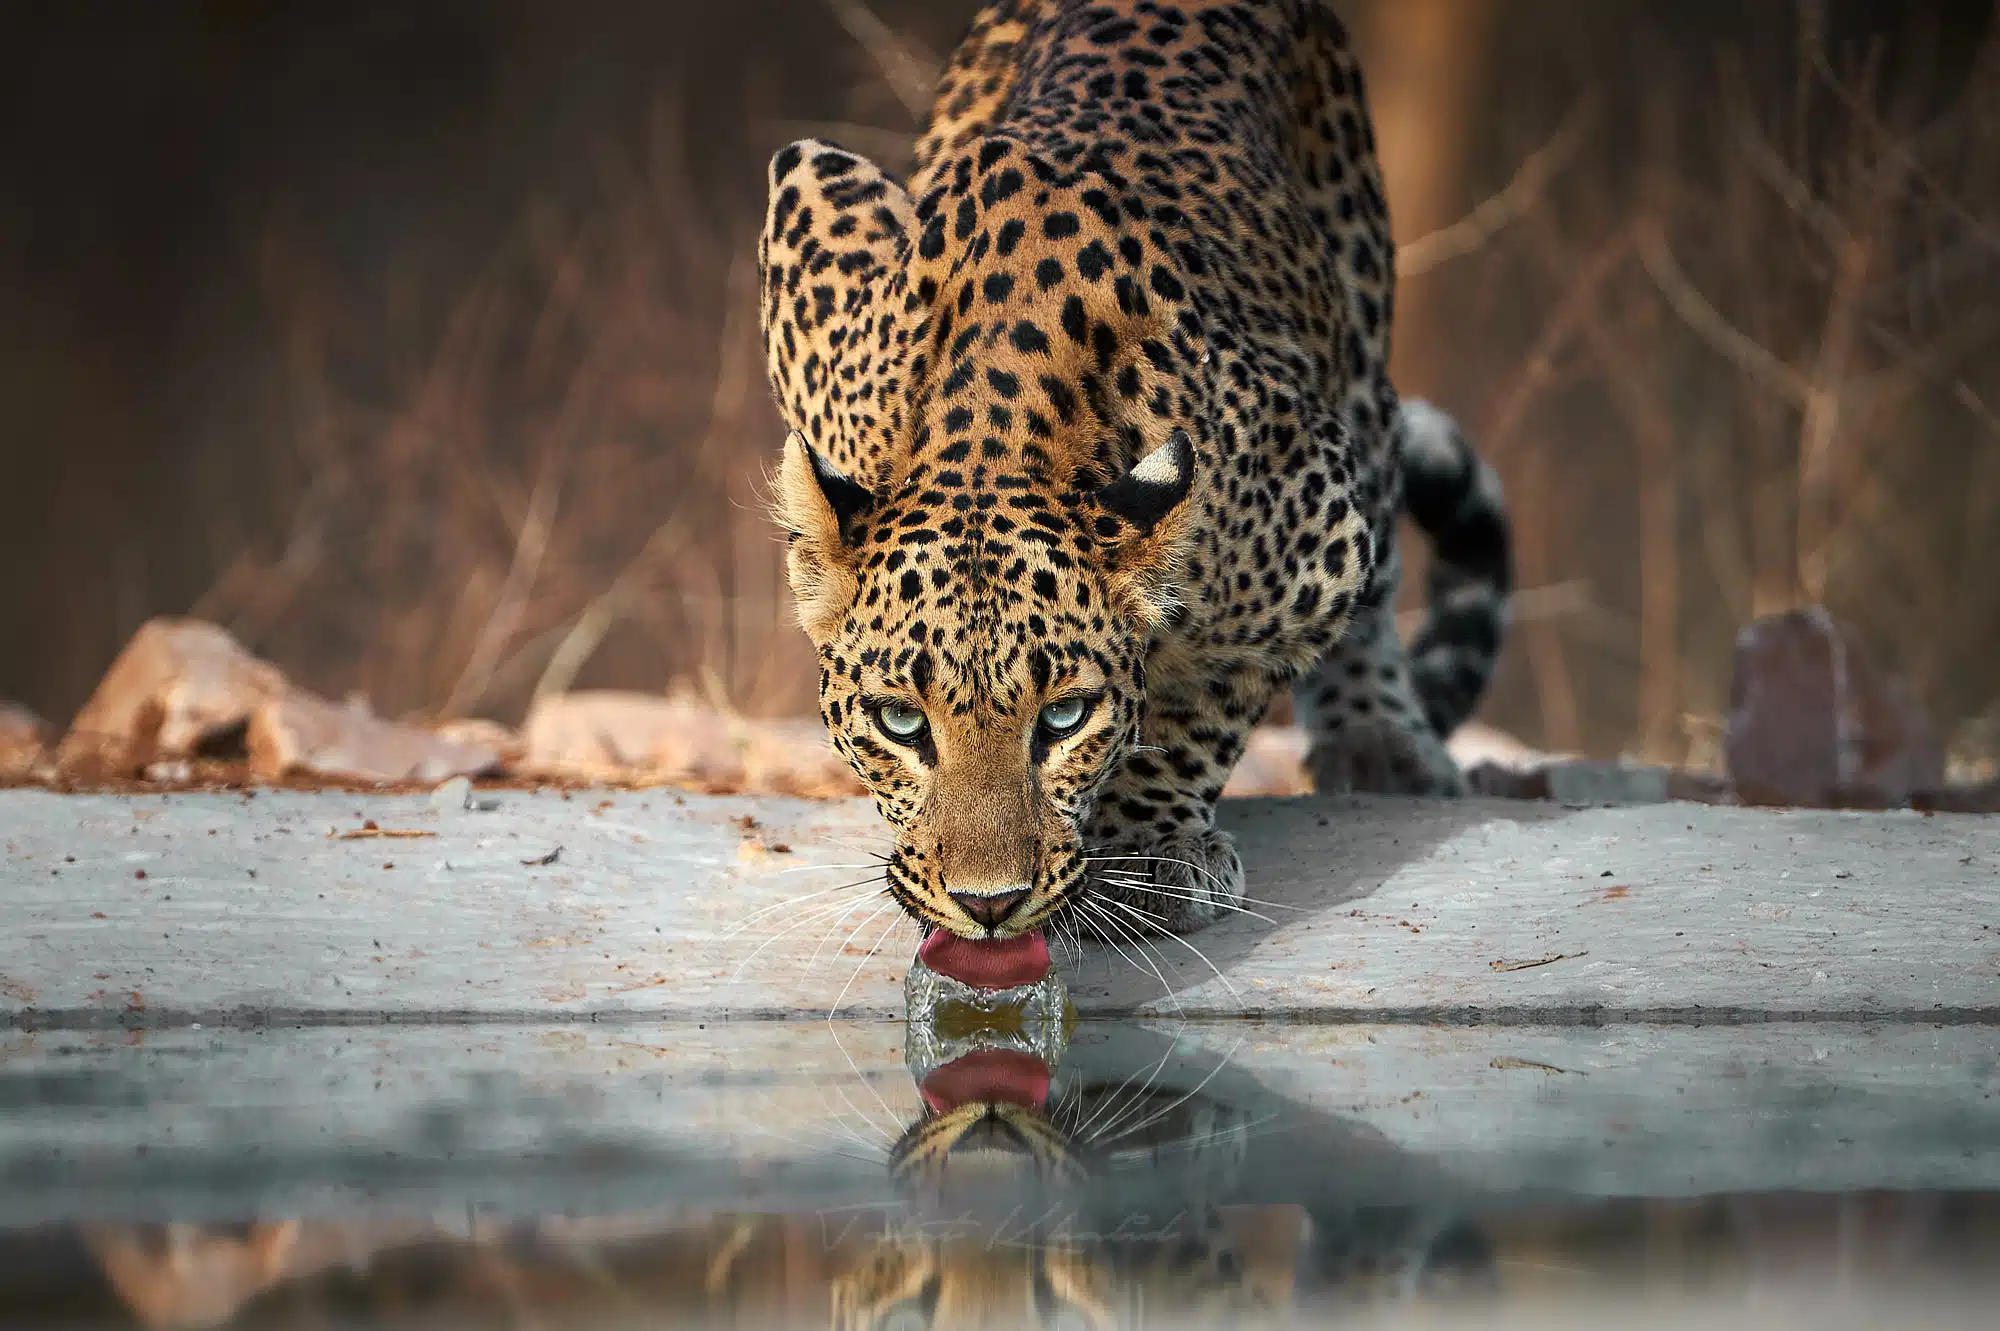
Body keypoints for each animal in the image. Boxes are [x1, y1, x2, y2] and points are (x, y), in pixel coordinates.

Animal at [759, 0, 1511, 945]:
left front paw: (1150, 845)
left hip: (1362, 333)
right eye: (899, 723)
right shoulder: (808, 188)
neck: (997, 431)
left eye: (1063, 717)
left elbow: (1208, 694)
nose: (988, 904)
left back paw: (1380, 738)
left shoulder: (1320, 525)